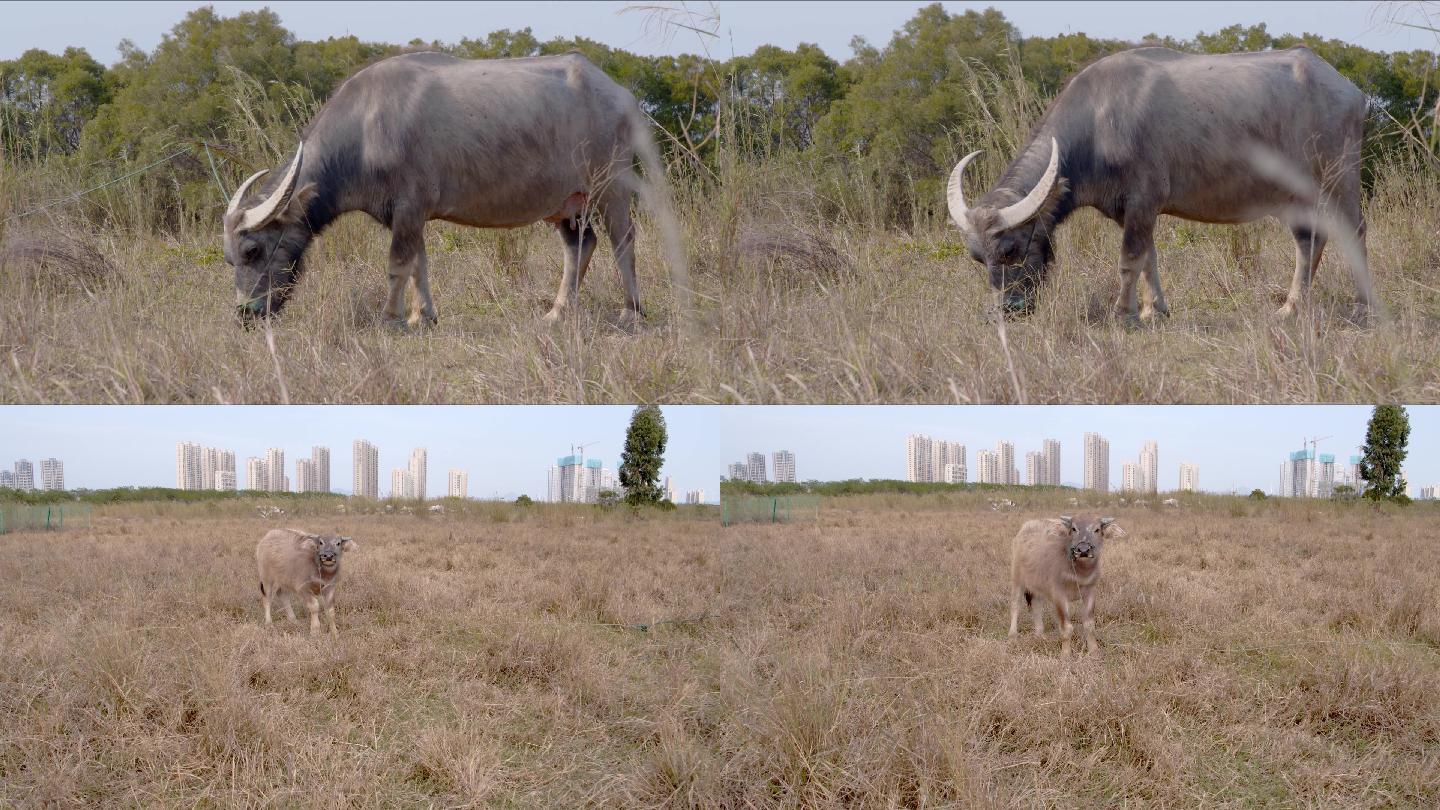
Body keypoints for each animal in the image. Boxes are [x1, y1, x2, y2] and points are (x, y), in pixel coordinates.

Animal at [221, 51, 682, 328]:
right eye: (229, 259)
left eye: (252, 250)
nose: (245, 314)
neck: (365, 130)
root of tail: (621, 95)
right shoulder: (411, 217)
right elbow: (419, 265)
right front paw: (422, 317)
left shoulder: (409, 207)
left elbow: (397, 265)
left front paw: (390, 319)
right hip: (568, 203)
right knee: (581, 245)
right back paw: (557, 312)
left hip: (611, 186)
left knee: (623, 241)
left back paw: (630, 312)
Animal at [944, 46, 1370, 321]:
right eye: (978, 257)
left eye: (1011, 249)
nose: (1005, 312)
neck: (1097, 125)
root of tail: (1348, 89)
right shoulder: (1130, 212)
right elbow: (1149, 257)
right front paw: (1155, 310)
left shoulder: (1143, 201)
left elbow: (1129, 259)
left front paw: (1124, 313)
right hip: (1296, 194)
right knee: (1309, 239)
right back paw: (1292, 307)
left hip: (1340, 176)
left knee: (1353, 231)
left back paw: (1362, 308)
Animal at [1008, 513, 1117, 651]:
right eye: (1074, 528)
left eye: (1097, 529)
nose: (1083, 550)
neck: (1079, 573)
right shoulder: (1059, 595)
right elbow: (1067, 627)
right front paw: (1066, 653)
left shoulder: (1091, 592)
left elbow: (1089, 625)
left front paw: (1094, 651)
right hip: (1017, 579)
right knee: (1015, 605)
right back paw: (1012, 637)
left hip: (1037, 585)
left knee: (1036, 605)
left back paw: (1040, 635)